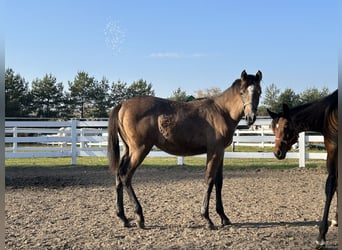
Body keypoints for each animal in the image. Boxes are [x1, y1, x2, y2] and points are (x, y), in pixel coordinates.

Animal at [108, 70, 264, 229]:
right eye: (242, 92)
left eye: (259, 92)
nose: (251, 117)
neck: (221, 111)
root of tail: (123, 104)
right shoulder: (214, 151)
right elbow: (209, 180)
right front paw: (207, 218)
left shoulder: (221, 152)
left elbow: (219, 182)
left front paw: (223, 217)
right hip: (140, 150)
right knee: (126, 176)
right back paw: (139, 216)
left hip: (128, 150)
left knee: (119, 174)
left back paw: (123, 217)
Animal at [268, 89, 338, 248]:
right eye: (273, 128)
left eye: (286, 126)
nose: (277, 152)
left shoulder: (333, 153)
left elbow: (330, 187)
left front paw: (321, 236)